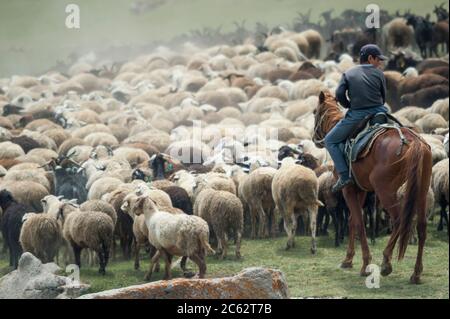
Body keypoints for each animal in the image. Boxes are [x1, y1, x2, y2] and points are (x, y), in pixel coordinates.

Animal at [312, 91, 432, 284]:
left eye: (315, 112)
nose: (315, 139)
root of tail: (414, 142)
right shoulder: (361, 189)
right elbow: (352, 221)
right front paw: (348, 259)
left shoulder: (348, 188)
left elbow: (358, 222)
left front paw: (365, 264)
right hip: (421, 190)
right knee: (421, 226)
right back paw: (416, 273)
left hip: (385, 191)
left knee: (399, 220)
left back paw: (386, 262)